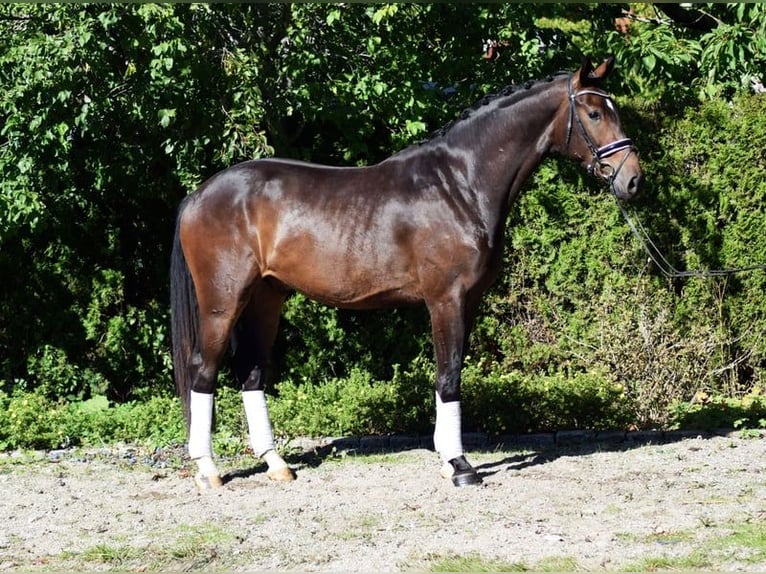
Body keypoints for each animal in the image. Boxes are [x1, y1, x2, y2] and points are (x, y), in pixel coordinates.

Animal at [171, 57, 644, 490]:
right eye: (594, 113)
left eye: (614, 109)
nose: (633, 181)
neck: (460, 185)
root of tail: (197, 196)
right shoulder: (445, 299)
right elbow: (449, 376)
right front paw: (460, 466)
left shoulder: (468, 302)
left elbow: (452, 374)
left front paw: (447, 458)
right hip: (223, 302)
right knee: (203, 371)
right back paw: (208, 471)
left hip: (266, 297)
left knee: (251, 371)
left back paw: (277, 465)